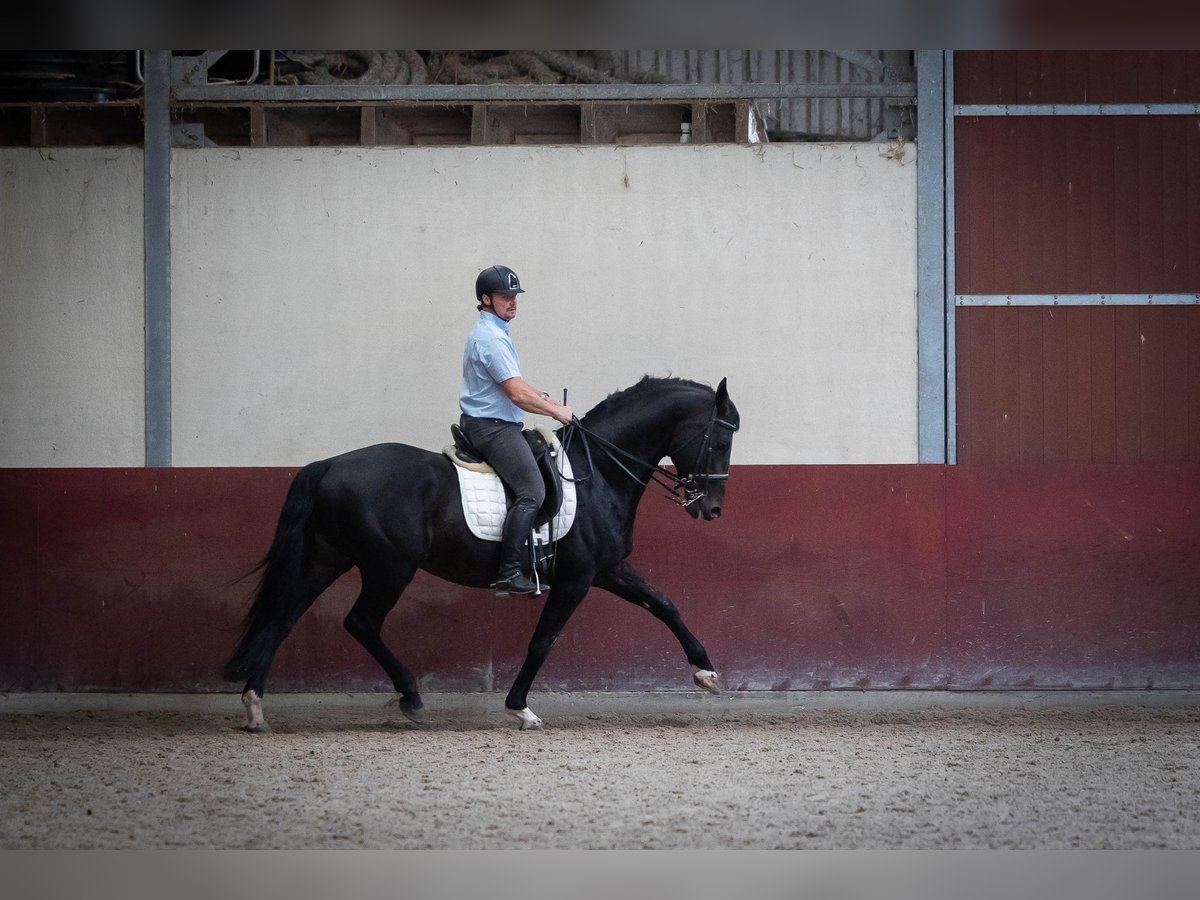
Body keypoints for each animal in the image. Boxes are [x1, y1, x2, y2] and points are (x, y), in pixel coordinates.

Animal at [220, 374, 734, 734]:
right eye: (722, 439)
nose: (710, 508)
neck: (599, 473)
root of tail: (327, 464)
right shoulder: (577, 578)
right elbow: (543, 641)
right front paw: (520, 709)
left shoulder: (607, 569)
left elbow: (664, 604)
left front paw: (705, 671)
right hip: (389, 566)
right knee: (360, 622)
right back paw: (410, 698)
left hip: (328, 558)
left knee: (282, 618)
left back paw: (255, 709)